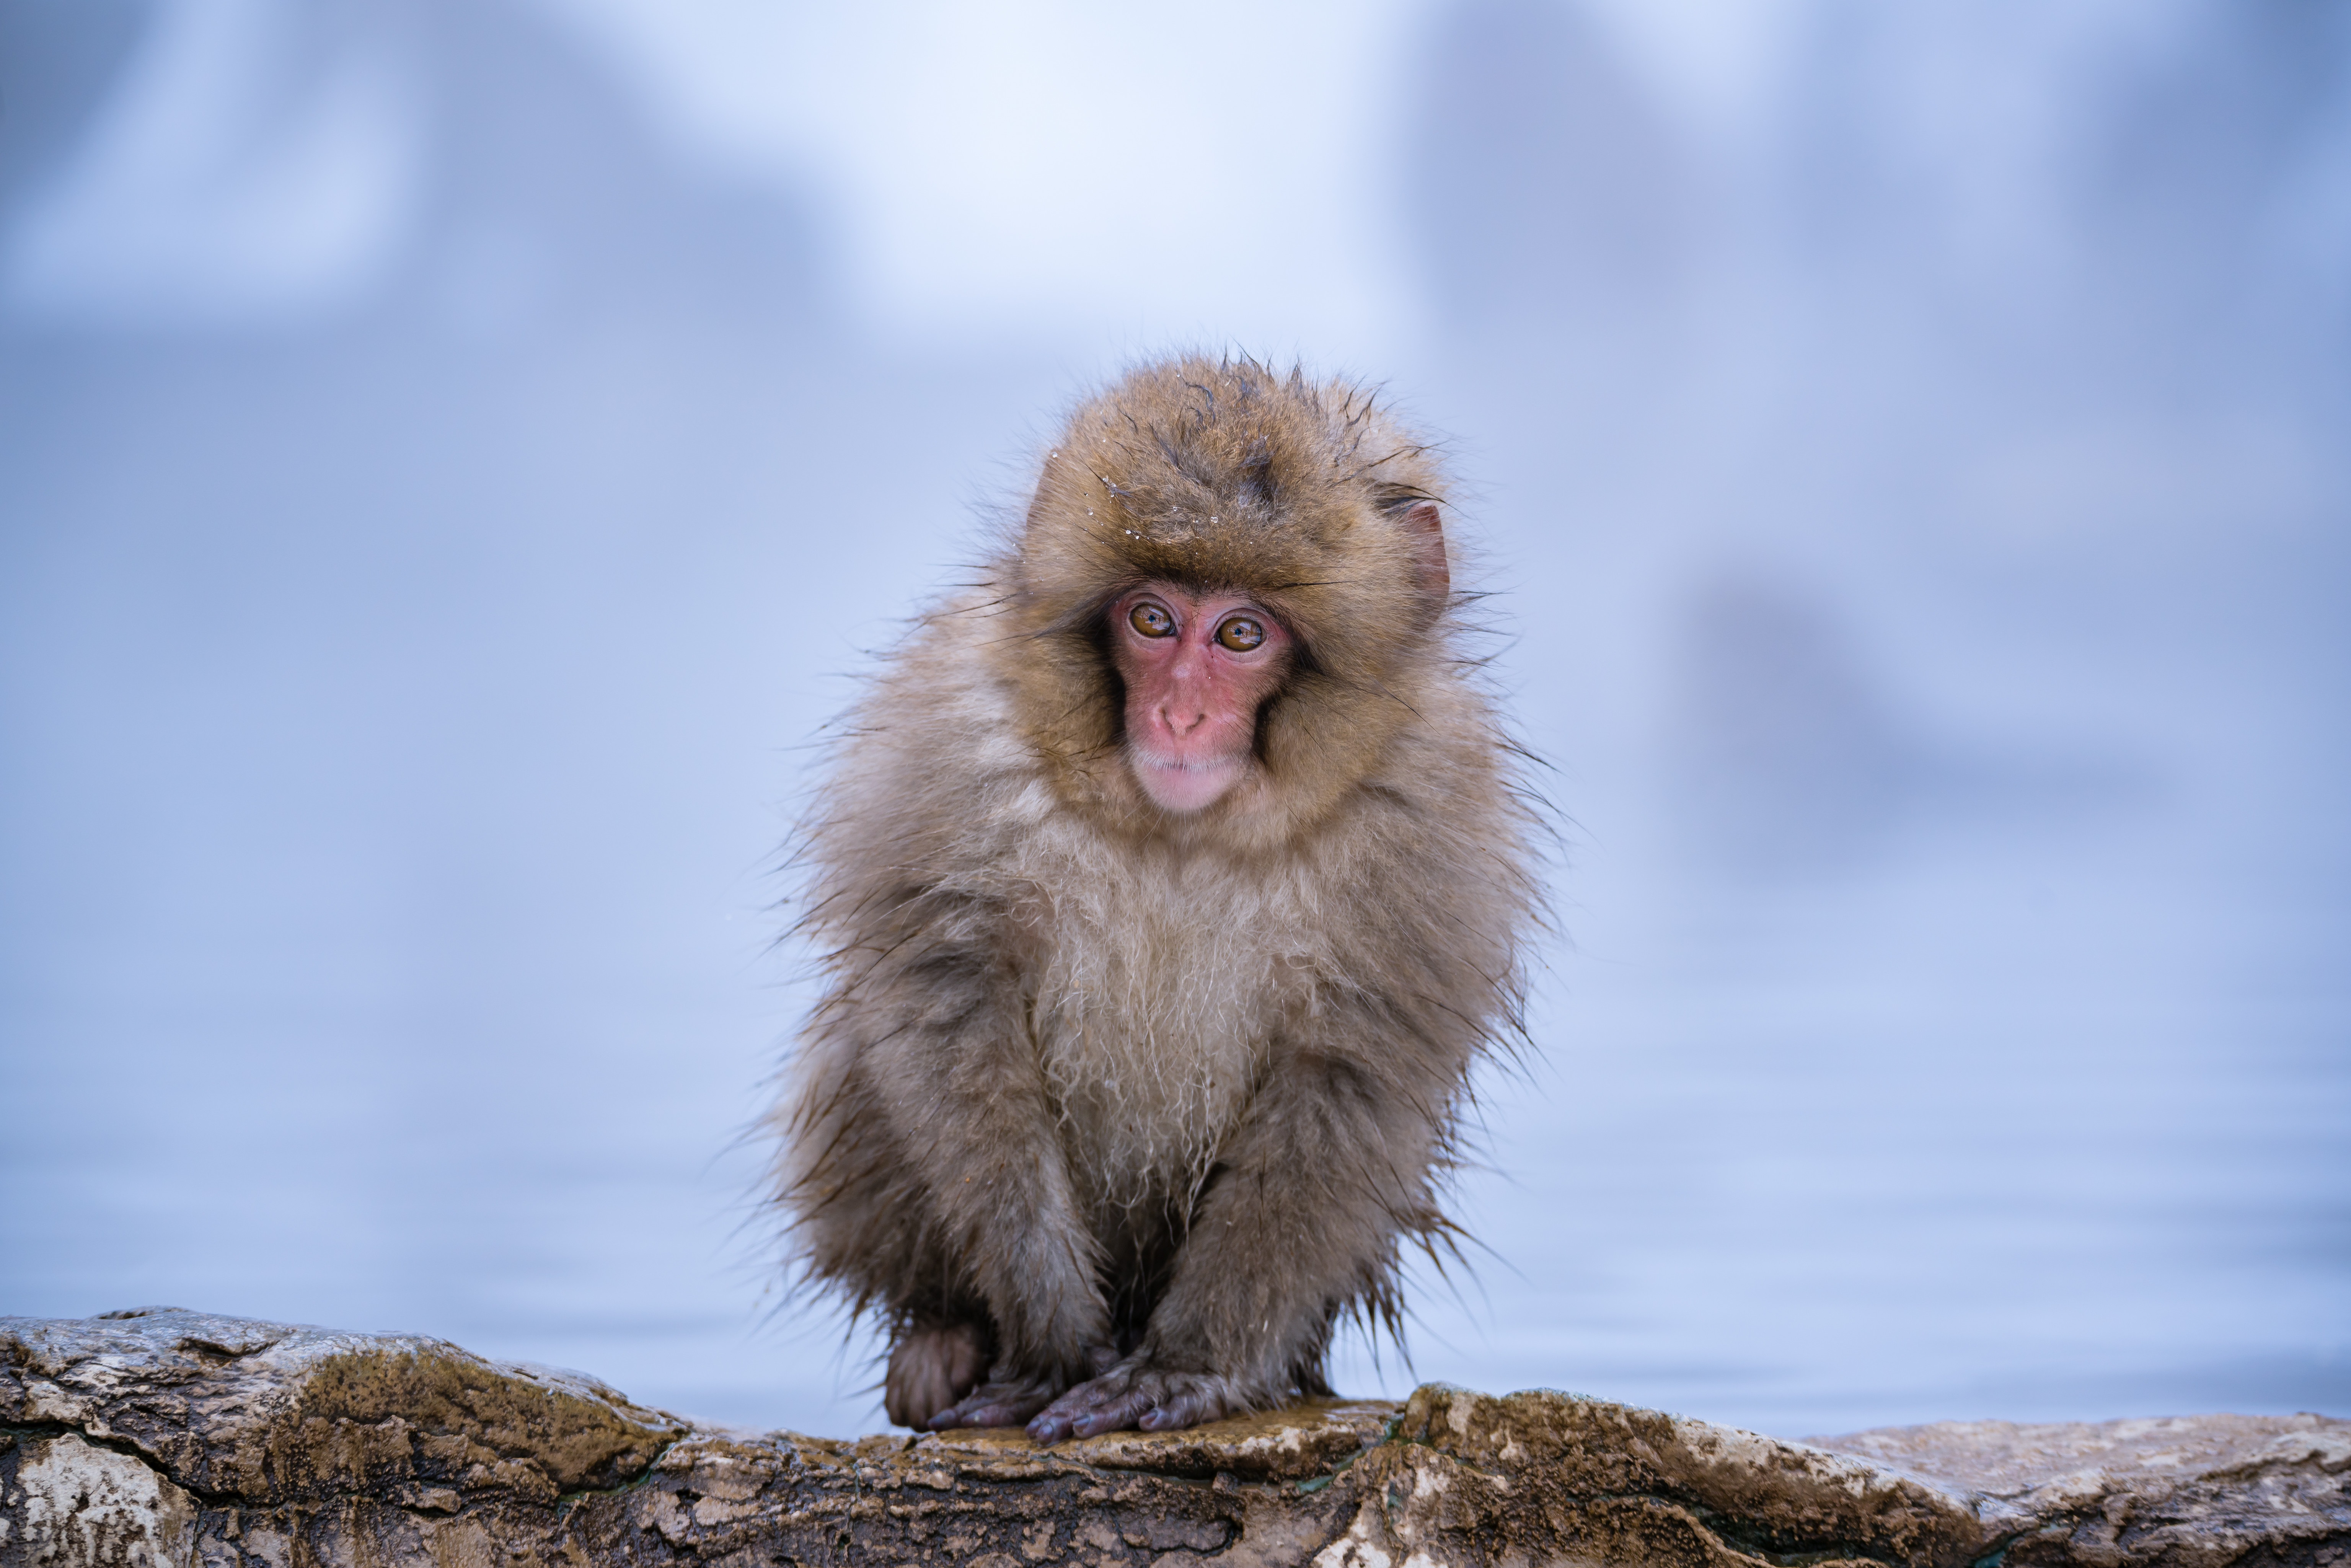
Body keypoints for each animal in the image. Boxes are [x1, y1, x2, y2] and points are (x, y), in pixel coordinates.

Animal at [771, 354, 1540, 1442]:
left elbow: (1349, 1078)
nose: (1178, 714)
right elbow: (948, 1012)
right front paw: (1048, 1341)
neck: (1190, 829)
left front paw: (1192, 1366)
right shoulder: (953, 736)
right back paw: (943, 1334)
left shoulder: (1433, 812)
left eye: (1242, 633)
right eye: (1151, 619)